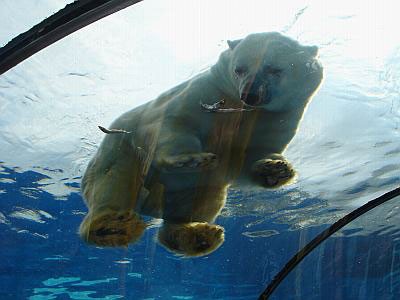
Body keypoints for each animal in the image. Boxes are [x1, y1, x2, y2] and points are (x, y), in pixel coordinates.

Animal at [77, 33, 322, 258]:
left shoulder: (278, 116)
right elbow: (175, 122)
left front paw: (275, 170)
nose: (249, 94)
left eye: (274, 69)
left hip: (196, 187)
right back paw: (111, 226)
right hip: (119, 150)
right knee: (113, 182)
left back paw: (198, 235)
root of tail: (150, 208)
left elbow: (254, 155)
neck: (239, 107)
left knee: (200, 203)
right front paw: (190, 159)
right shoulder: (207, 92)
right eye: (239, 69)